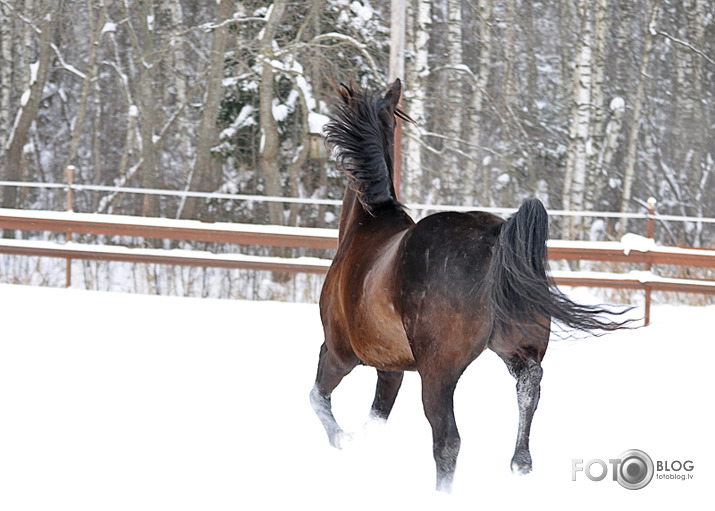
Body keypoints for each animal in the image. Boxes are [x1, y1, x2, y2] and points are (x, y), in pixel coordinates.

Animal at [310, 79, 632, 492]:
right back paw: (520, 464)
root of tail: (497, 237)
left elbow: (318, 398)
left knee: (447, 440)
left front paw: (342, 442)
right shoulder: (390, 368)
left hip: (437, 372)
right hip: (514, 347)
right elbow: (373, 418)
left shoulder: (341, 352)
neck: (366, 225)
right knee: (530, 386)